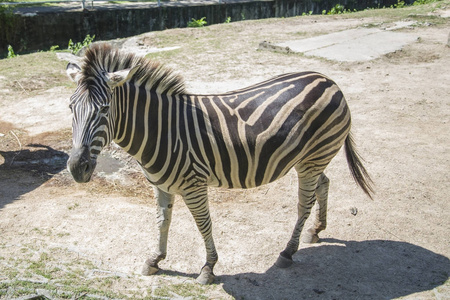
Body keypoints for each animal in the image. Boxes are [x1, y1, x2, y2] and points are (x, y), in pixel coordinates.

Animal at [64, 43, 372, 284]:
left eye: (104, 109)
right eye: (70, 107)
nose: (77, 168)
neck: (161, 130)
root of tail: (328, 80)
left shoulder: (194, 185)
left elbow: (204, 224)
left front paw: (208, 268)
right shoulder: (160, 186)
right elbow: (162, 221)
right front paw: (155, 259)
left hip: (313, 158)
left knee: (303, 203)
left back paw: (287, 252)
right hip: (310, 159)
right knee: (323, 184)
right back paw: (316, 231)